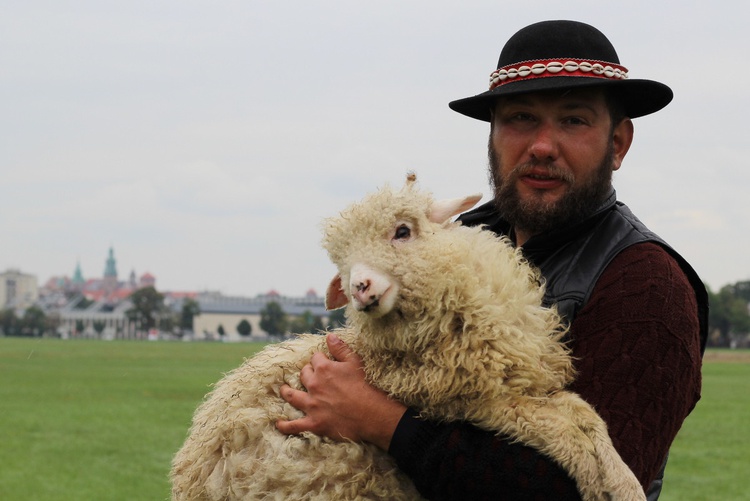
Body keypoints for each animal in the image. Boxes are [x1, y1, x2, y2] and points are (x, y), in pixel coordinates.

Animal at [170, 173, 648, 500]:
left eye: (403, 230)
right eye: (341, 262)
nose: (359, 287)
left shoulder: (514, 385)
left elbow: (585, 415)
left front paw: (622, 481)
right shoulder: (473, 400)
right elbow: (564, 429)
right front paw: (604, 483)